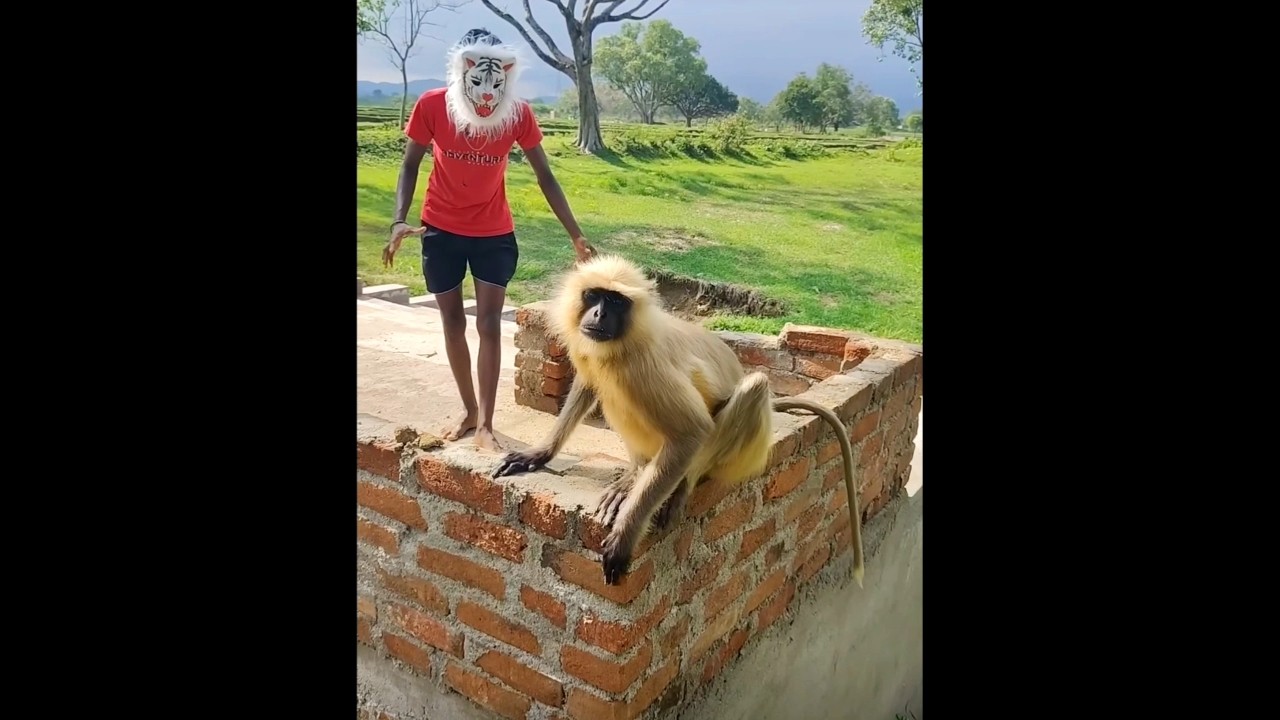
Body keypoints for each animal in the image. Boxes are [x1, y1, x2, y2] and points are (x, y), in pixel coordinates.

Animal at [493, 254, 864, 589]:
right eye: (594, 295)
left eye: (615, 301)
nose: (599, 313)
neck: (628, 338)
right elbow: (587, 383)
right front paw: (539, 453)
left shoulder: (642, 366)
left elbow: (693, 431)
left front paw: (626, 535)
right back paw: (636, 474)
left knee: (754, 387)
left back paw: (681, 483)